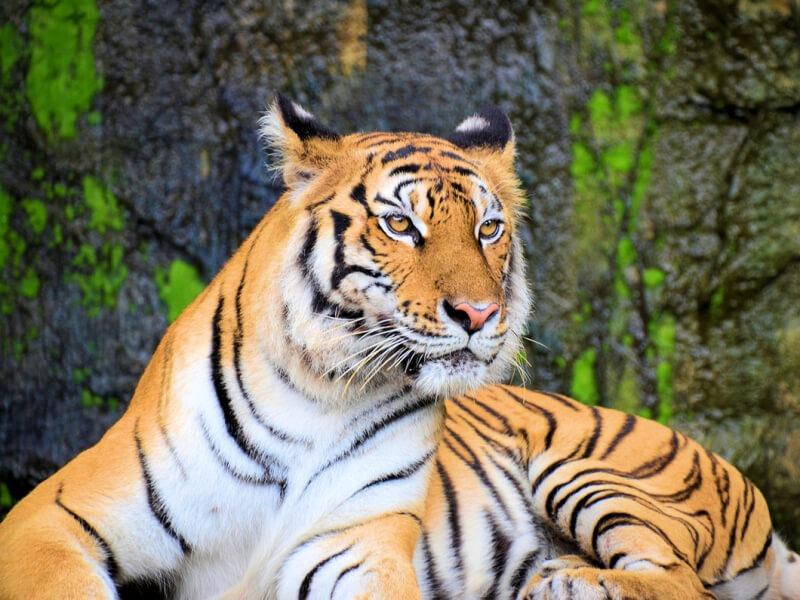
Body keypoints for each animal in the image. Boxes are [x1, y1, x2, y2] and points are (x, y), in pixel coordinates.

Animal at [0, 95, 795, 600]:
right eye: (401, 225)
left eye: (488, 229)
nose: (479, 312)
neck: (318, 392)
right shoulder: (49, 520)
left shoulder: (355, 544)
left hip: (594, 473)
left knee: (686, 584)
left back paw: (571, 582)